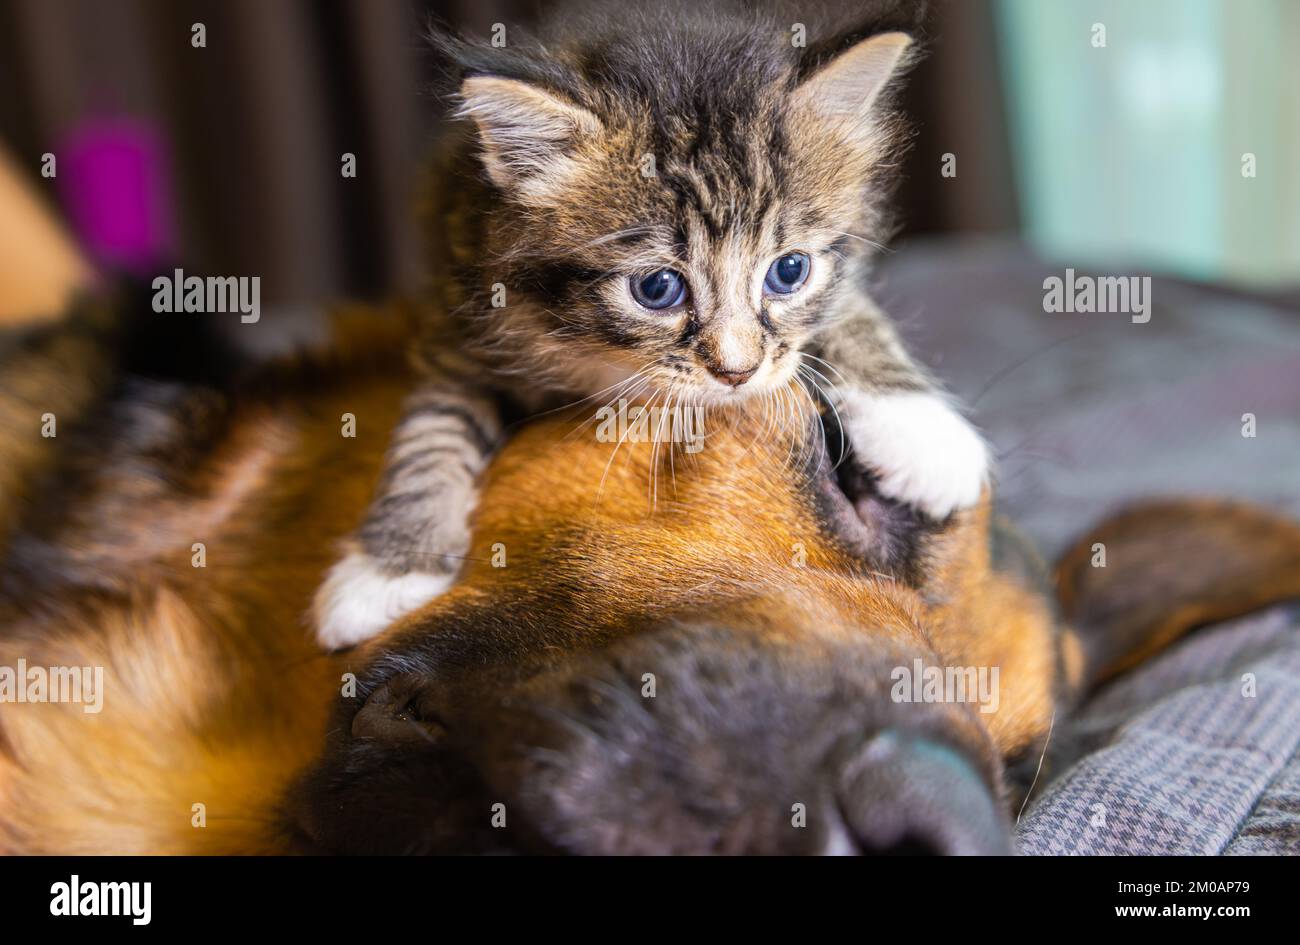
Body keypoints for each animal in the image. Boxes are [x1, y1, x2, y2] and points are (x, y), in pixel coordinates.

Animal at [312, 0, 982, 649]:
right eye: (657, 288)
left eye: (789, 271)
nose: (736, 373)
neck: (596, 354)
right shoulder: (460, 313)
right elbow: (431, 428)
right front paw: (385, 572)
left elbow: (848, 313)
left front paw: (923, 434)